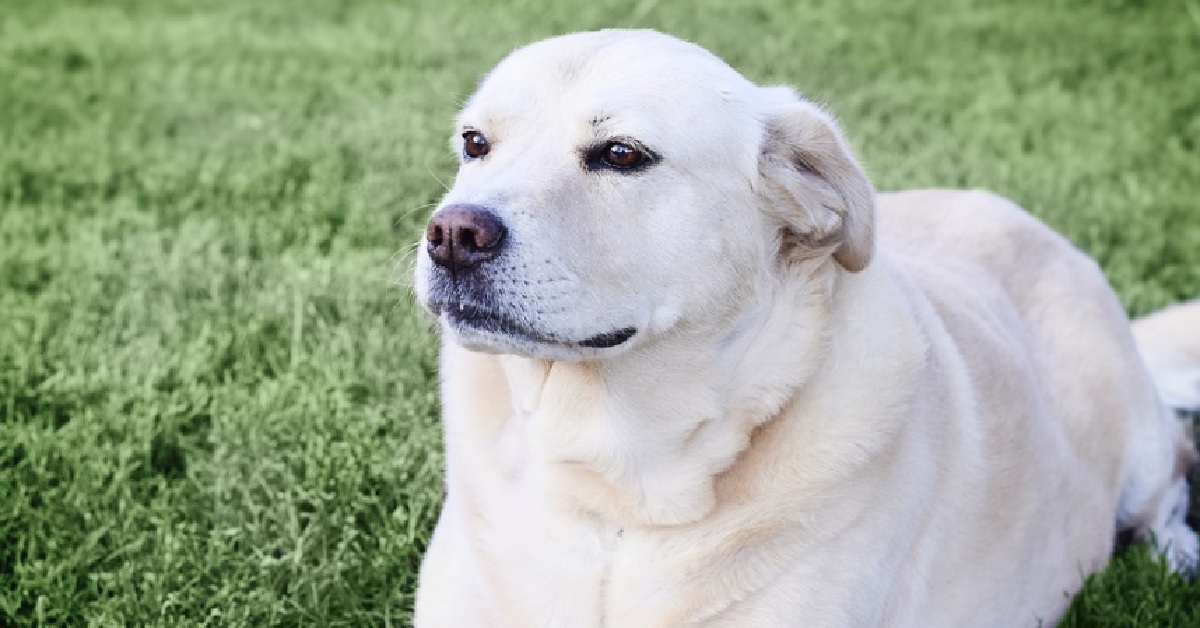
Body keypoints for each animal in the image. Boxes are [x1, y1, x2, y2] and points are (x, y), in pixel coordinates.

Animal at [412, 29, 1200, 628]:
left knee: (1172, 474)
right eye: (475, 143)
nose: (452, 235)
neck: (618, 489)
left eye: (622, 155)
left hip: (1136, 441)